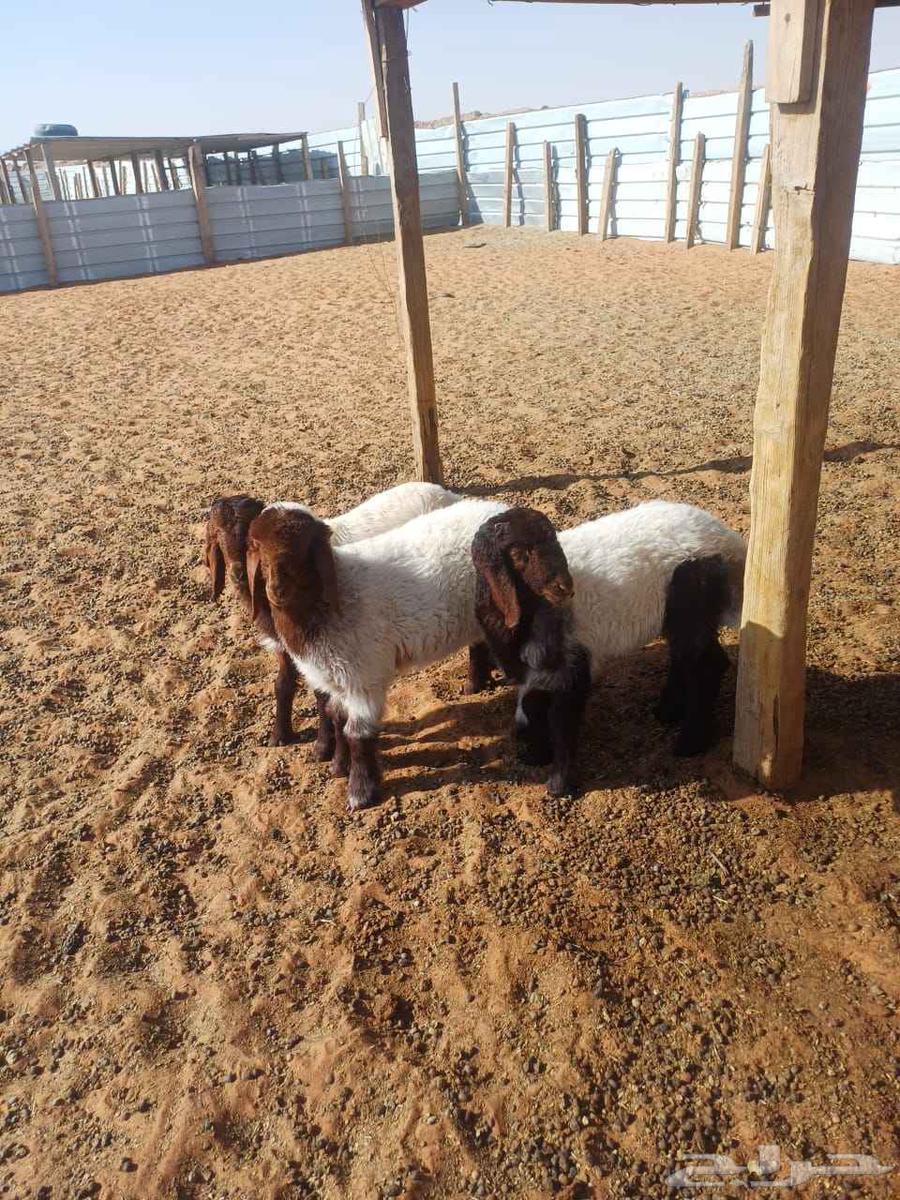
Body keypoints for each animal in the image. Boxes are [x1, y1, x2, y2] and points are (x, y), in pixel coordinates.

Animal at [205, 481, 463, 751]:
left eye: (246, 537)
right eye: (218, 535)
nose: (237, 574)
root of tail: (443, 492)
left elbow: (322, 694)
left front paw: (323, 746)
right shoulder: (285, 645)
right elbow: (283, 684)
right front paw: (280, 735)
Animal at [245, 497, 509, 811]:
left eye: (303, 547)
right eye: (257, 546)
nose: (276, 589)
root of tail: (495, 507)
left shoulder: (364, 677)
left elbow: (358, 734)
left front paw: (361, 792)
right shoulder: (336, 678)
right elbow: (336, 718)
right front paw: (339, 766)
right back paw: (475, 683)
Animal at [471, 501, 746, 796]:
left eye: (554, 541)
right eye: (519, 554)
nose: (565, 587)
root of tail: (728, 540)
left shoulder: (573, 660)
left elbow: (562, 721)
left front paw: (560, 784)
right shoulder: (536, 669)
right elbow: (532, 706)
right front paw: (536, 755)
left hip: (692, 597)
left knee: (706, 664)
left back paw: (690, 742)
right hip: (679, 611)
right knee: (684, 656)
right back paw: (668, 711)